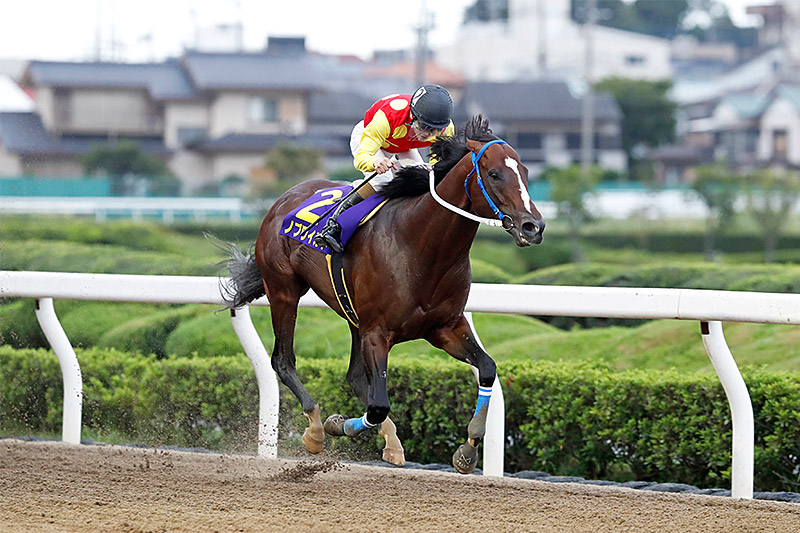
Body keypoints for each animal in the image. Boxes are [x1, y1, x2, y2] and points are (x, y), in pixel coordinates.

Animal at [219, 115, 544, 470]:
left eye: (525, 171)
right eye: (495, 174)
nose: (533, 227)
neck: (422, 245)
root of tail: (283, 199)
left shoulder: (445, 328)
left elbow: (486, 369)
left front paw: (468, 449)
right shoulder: (377, 332)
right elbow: (377, 405)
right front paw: (336, 425)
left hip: (351, 313)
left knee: (354, 377)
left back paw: (390, 443)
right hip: (283, 290)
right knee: (283, 360)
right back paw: (316, 428)